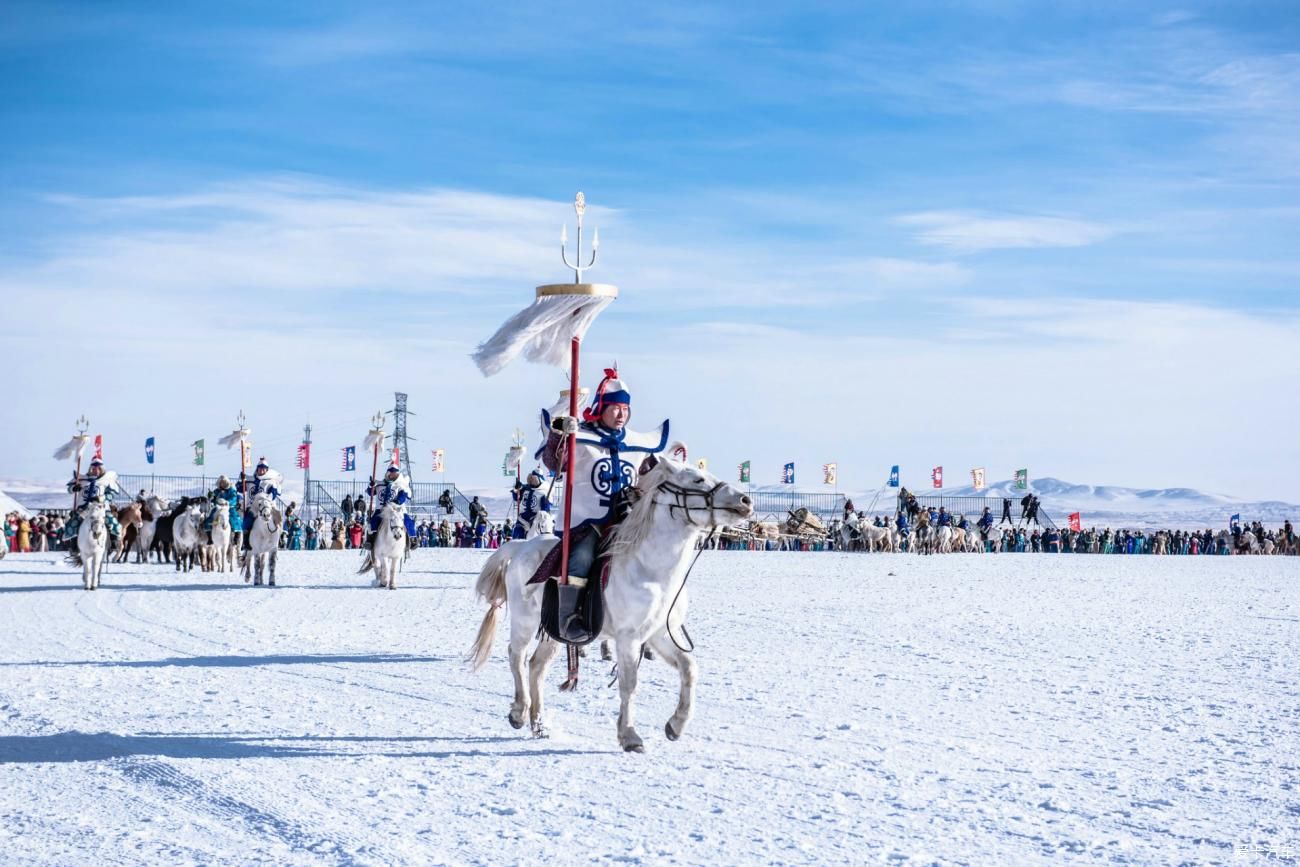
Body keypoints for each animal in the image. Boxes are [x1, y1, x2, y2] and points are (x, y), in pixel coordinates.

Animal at [467, 454, 754, 753]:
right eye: (698, 480)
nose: (746, 501)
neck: (651, 570)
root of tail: (520, 545)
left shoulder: (660, 634)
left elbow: (689, 668)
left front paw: (676, 725)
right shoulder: (629, 638)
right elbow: (629, 683)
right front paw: (629, 735)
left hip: (553, 630)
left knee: (536, 666)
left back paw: (539, 724)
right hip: (524, 620)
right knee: (517, 655)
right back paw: (519, 712)